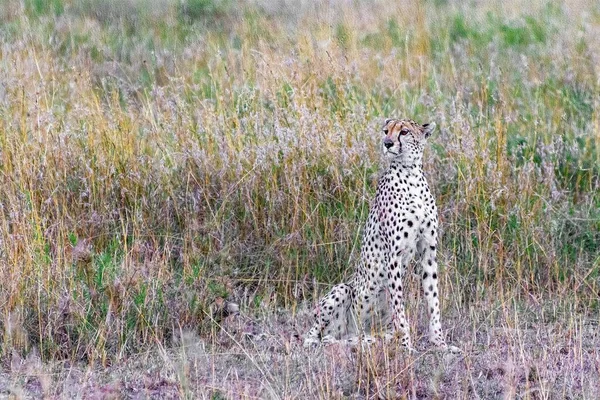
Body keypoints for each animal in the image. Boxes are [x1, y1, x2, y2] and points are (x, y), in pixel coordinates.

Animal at [304, 117, 454, 352]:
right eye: (386, 131)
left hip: (372, 333)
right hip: (343, 289)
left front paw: (440, 343)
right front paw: (407, 347)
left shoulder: (429, 250)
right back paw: (315, 342)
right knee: (316, 334)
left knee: (347, 339)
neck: (410, 174)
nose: (387, 143)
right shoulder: (393, 255)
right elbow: (399, 308)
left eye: (404, 132)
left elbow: (433, 301)